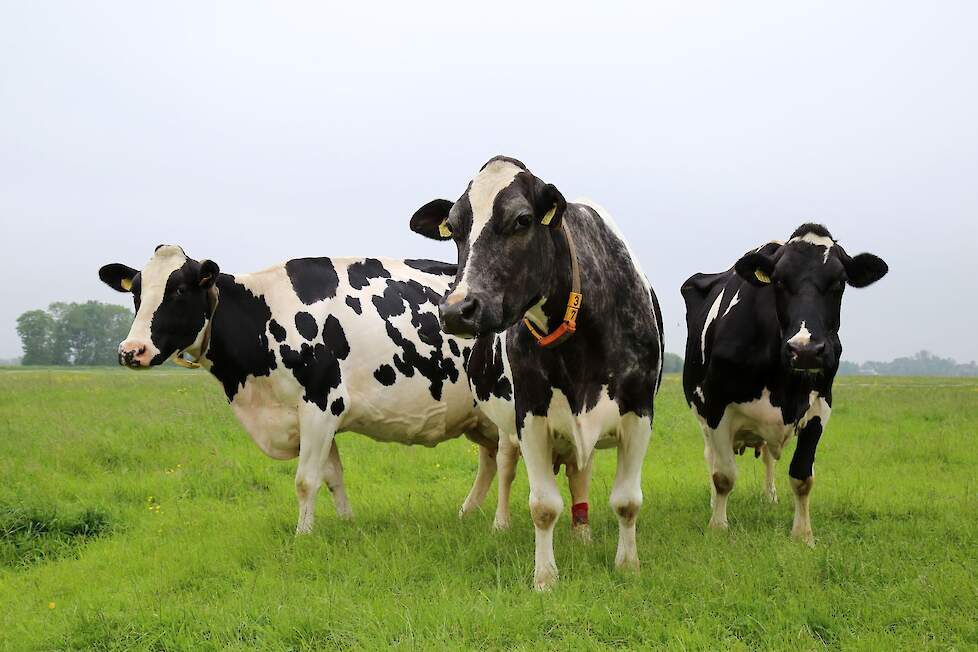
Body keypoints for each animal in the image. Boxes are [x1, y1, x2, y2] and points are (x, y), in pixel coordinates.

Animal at [96, 247, 516, 532]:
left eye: (180, 291)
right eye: (136, 293)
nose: (131, 351)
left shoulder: (320, 403)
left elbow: (305, 480)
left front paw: (303, 535)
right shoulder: (310, 417)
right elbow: (333, 477)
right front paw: (347, 524)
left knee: (504, 459)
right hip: (479, 416)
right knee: (488, 460)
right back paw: (465, 514)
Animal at [404, 158, 664, 592]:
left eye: (522, 220)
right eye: (453, 228)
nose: (457, 310)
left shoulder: (639, 409)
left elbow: (627, 501)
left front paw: (628, 565)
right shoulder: (530, 413)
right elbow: (543, 506)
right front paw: (545, 577)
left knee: (579, 474)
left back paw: (582, 532)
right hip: (507, 430)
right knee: (506, 468)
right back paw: (501, 525)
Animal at [680, 224, 884, 544]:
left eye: (839, 282)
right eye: (778, 281)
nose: (805, 349)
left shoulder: (820, 406)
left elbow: (802, 476)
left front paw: (803, 535)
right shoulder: (715, 406)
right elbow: (723, 475)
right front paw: (718, 526)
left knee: (768, 459)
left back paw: (770, 497)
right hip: (703, 416)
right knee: (712, 457)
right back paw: (715, 503)